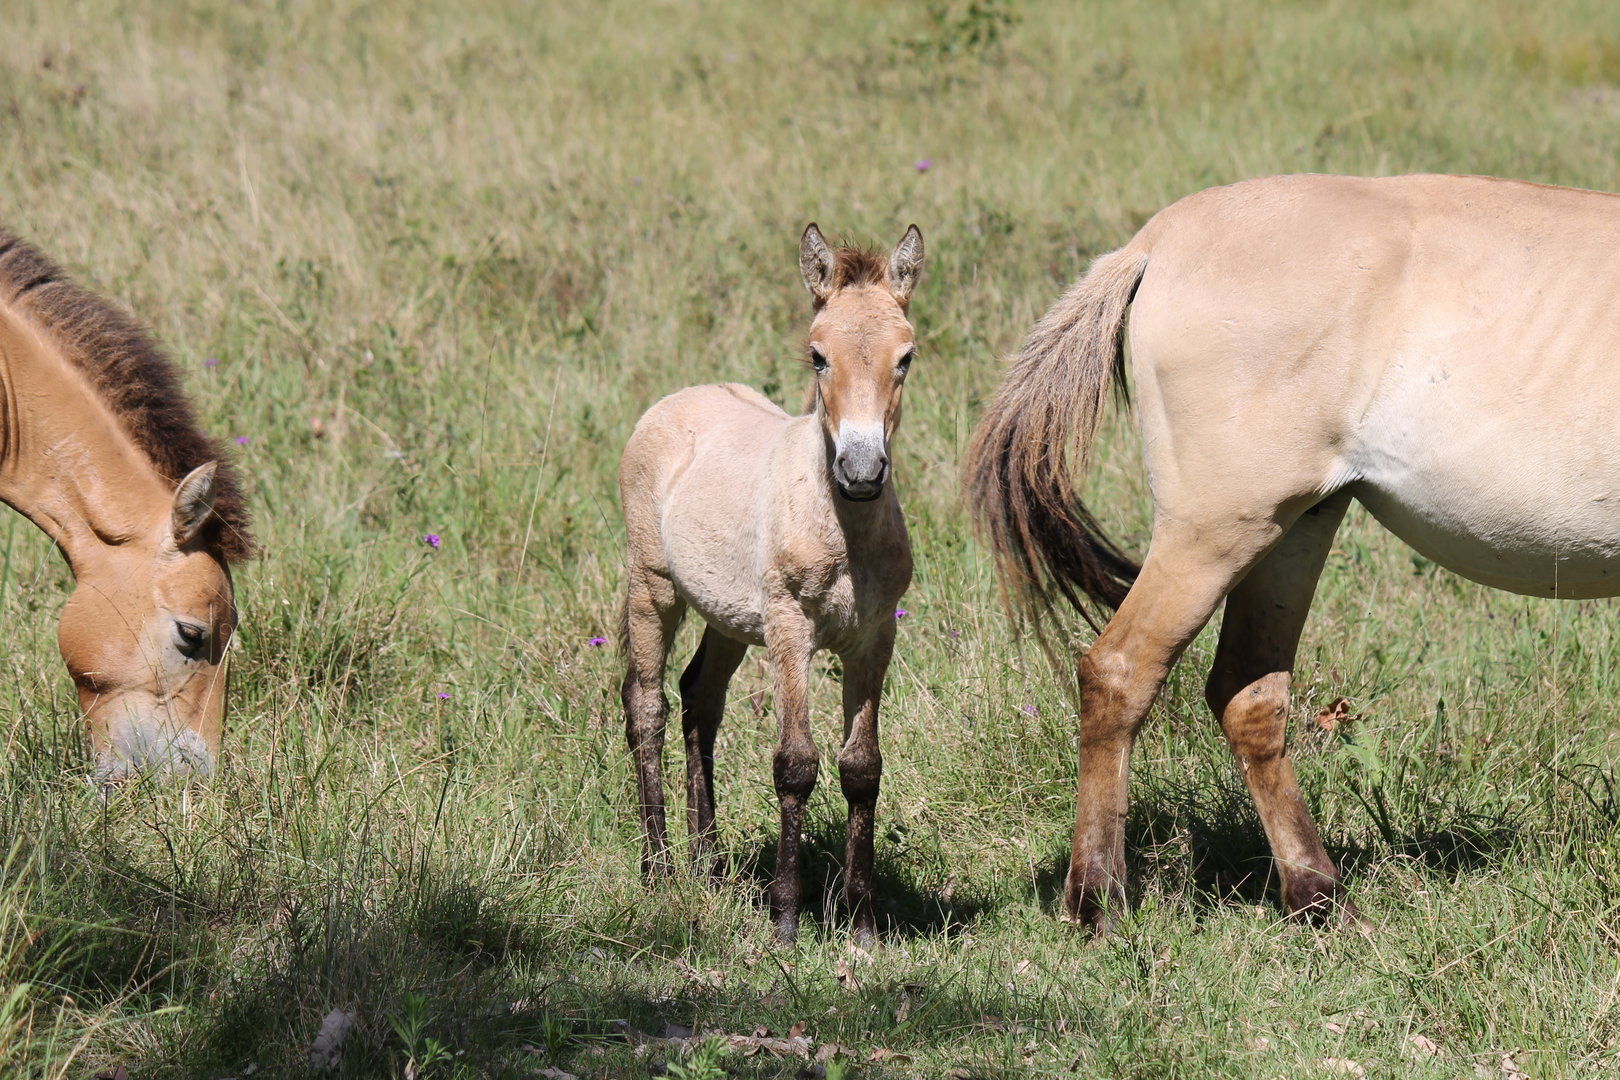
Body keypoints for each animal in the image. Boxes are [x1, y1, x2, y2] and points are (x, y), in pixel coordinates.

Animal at [619, 223, 923, 943]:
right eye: (817, 356)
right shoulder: (790, 631)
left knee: (699, 698)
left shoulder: (873, 640)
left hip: (727, 616)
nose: (862, 472)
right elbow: (796, 763)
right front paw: (786, 916)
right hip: (653, 587)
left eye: (905, 357)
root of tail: (676, 400)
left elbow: (861, 767)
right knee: (646, 704)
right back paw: (659, 869)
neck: (842, 531)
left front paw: (861, 920)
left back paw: (707, 865)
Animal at [965, 172, 1620, 931]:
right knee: (1120, 672)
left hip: (1294, 527)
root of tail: (1155, 241)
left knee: (1247, 694)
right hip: (1217, 530)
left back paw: (1316, 894)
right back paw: (1098, 897)